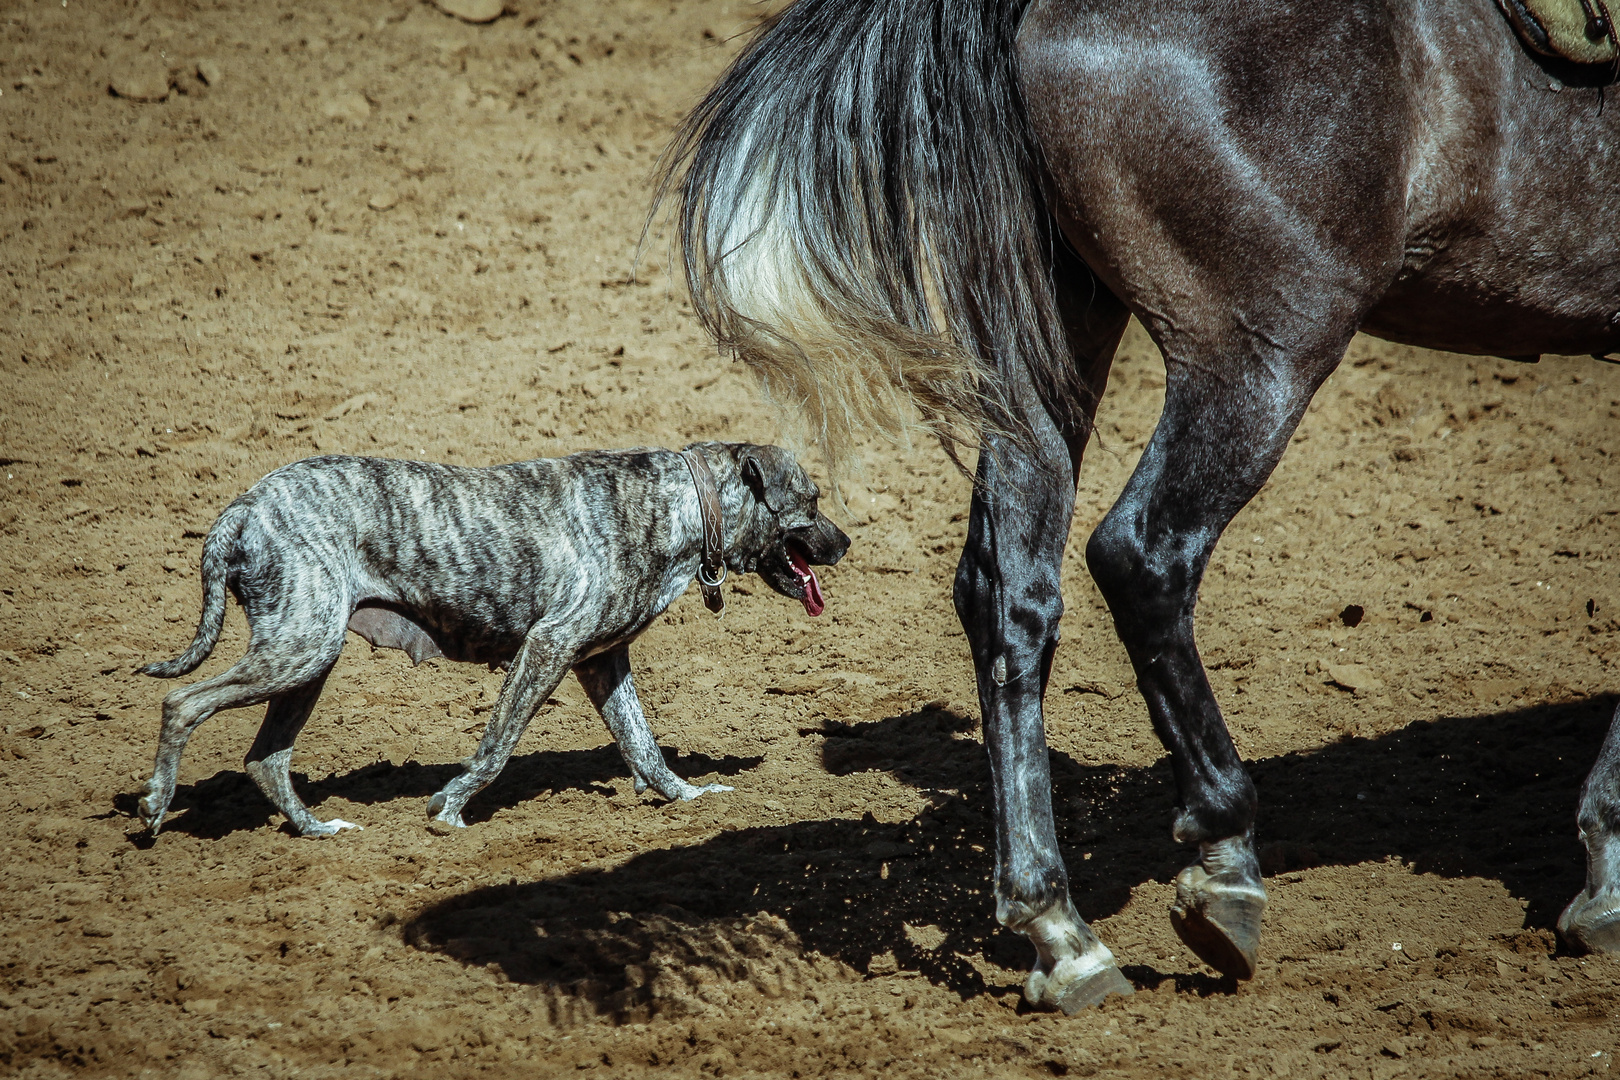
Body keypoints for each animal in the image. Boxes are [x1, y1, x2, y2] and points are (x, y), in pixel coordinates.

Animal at [136, 440, 848, 835]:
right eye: (812, 499)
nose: (845, 544)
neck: (684, 504)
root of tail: (242, 508)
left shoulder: (600, 662)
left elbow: (643, 748)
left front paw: (691, 799)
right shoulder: (548, 647)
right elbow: (497, 747)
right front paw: (450, 806)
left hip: (307, 659)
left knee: (266, 760)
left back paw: (318, 829)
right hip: (298, 651)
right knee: (182, 704)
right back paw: (154, 807)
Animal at [657, 0, 1620, 1016]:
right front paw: (1606, 870)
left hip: (1045, 342)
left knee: (1007, 591)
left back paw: (1060, 932)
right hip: (1262, 349)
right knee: (1142, 555)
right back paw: (1223, 861)